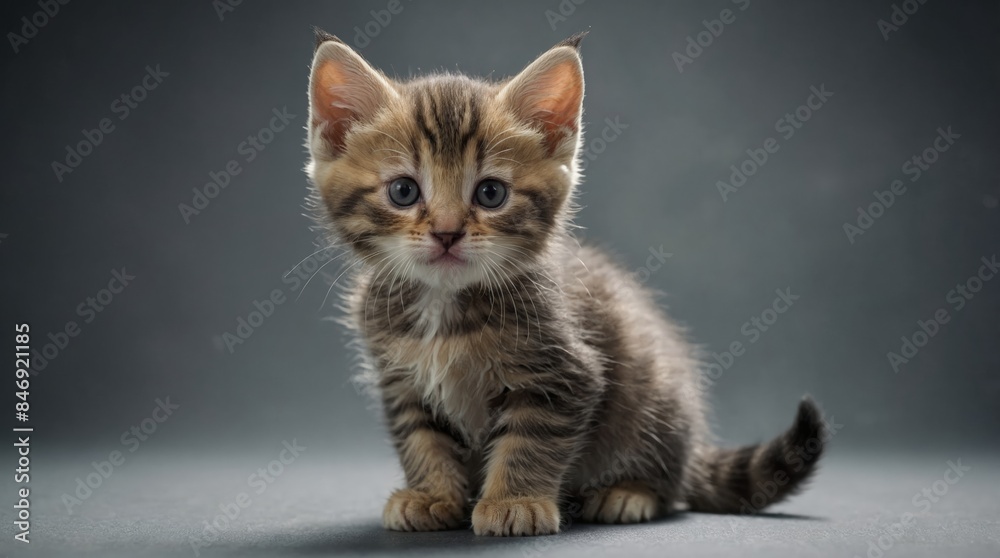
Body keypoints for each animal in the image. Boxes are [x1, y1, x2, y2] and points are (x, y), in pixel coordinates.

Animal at [304, 30, 828, 540]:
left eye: (490, 193)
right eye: (403, 191)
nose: (447, 233)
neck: (444, 305)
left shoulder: (564, 373)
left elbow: (530, 441)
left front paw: (515, 502)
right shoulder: (401, 379)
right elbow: (420, 437)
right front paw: (433, 494)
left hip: (655, 399)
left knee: (668, 480)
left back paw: (627, 493)